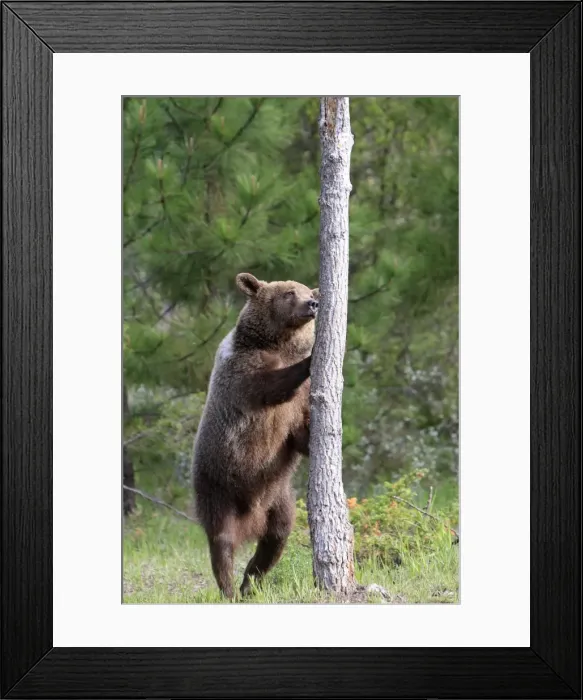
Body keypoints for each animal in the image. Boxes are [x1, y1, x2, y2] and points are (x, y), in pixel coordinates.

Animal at [192, 272, 319, 598]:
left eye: (309, 291)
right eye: (289, 293)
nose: (312, 303)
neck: (278, 344)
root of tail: (252, 518)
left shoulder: (296, 410)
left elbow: (299, 435)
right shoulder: (242, 371)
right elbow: (270, 385)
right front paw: (311, 359)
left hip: (278, 494)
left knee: (276, 537)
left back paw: (251, 581)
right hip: (217, 486)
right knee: (221, 542)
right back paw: (229, 589)